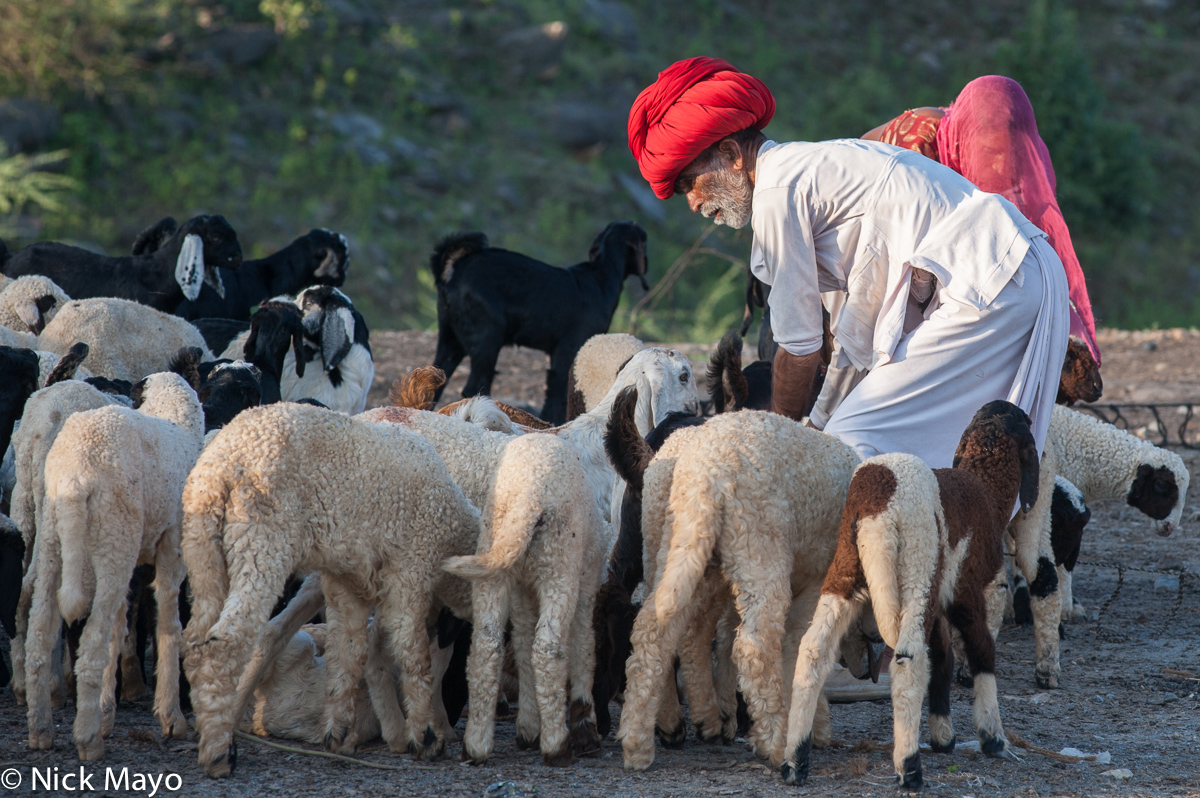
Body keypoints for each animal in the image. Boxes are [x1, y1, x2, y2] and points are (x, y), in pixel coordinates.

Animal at [23, 369, 202, 758]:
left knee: (40, 637)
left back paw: (41, 729)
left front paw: (108, 710)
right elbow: (168, 623)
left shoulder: (129, 558)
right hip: (113, 534)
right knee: (91, 645)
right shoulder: (173, 545)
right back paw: (88, 740)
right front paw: (171, 716)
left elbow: (120, 628)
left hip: (61, 539)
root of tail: (75, 475)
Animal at [177, 400, 477, 772]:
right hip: (260, 539)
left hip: (202, 545)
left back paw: (211, 731)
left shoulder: (349, 580)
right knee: (227, 640)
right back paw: (219, 754)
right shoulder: (410, 569)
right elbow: (413, 654)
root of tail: (222, 464)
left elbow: (347, 652)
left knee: (195, 641)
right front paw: (425, 737)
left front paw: (339, 734)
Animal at [432, 220, 652, 427]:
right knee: (474, 385)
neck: (602, 275)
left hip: (450, 340)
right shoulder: (567, 351)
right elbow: (557, 395)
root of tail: (455, 271)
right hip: (486, 340)